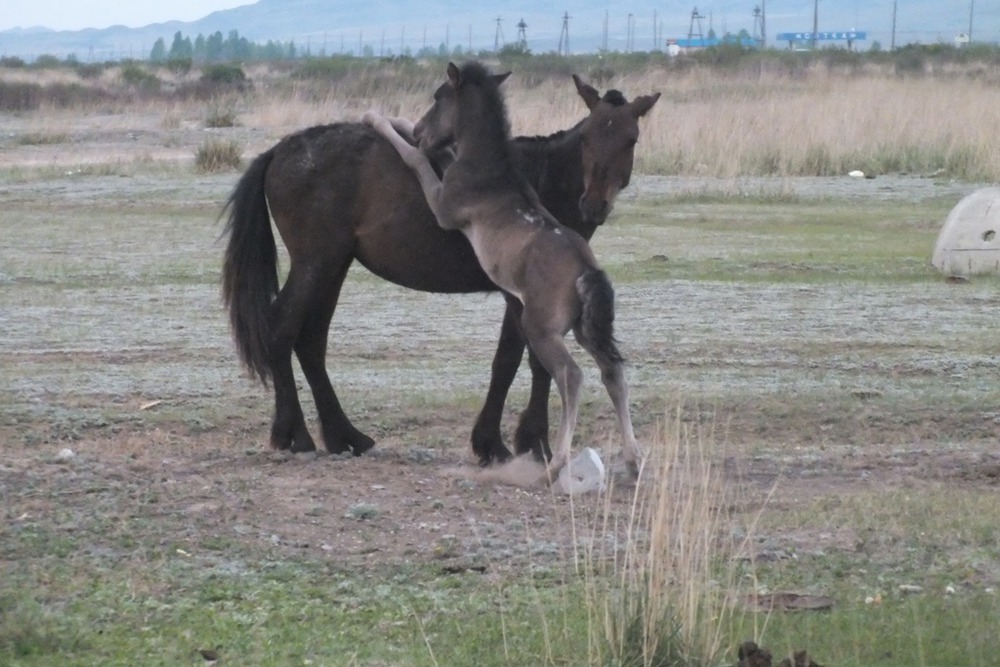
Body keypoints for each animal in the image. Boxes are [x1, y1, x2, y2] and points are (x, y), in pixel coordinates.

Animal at [220, 72, 660, 464]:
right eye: (586, 137)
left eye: (631, 139)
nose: (595, 204)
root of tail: (279, 151)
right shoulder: (521, 297)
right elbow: (519, 362)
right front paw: (515, 442)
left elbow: (519, 361)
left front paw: (507, 440)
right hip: (316, 264)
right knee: (282, 331)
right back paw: (294, 434)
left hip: (332, 266)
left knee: (311, 343)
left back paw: (345, 435)